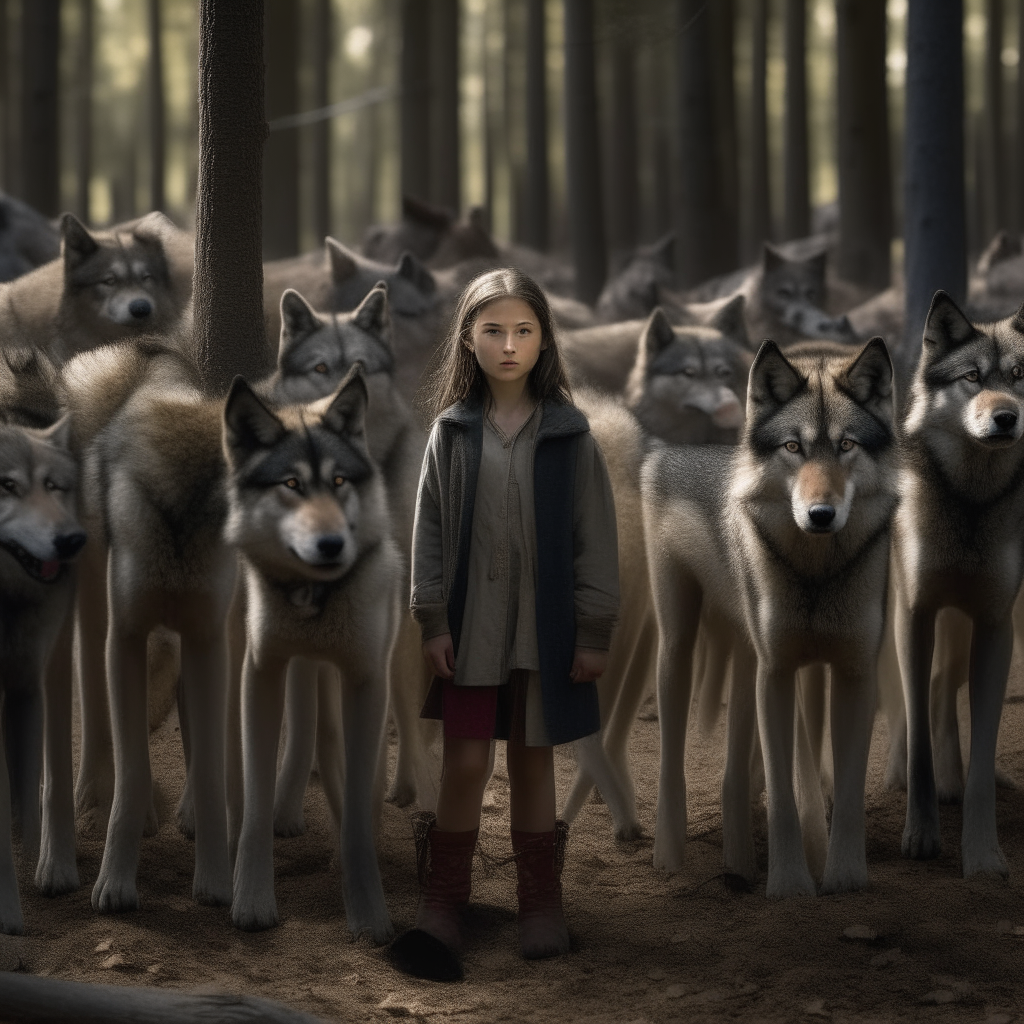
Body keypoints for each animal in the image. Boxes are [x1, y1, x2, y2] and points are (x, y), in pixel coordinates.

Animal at [226, 368, 401, 942]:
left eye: (340, 482)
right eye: (291, 485)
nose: (331, 544)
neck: (313, 600)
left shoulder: (367, 680)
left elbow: (361, 807)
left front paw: (369, 912)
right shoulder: (261, 670)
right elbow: (255, 800)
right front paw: (251, 902)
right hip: (297, 670)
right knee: (307, 734)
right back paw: (287, 812)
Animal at [638, 337, 897, 897]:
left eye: (847, 446)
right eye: (793, 448)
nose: (820, 514)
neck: (816, 575)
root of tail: (676, 450)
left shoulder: (852, 674)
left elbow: (844, 791)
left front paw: (845, 878)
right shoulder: (776, 673)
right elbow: (781, 793)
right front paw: (790, 884)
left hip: (745, 658)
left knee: (735, 776)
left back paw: (739, 862)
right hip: (679, 648)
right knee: (673, 759)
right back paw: (669, 857)